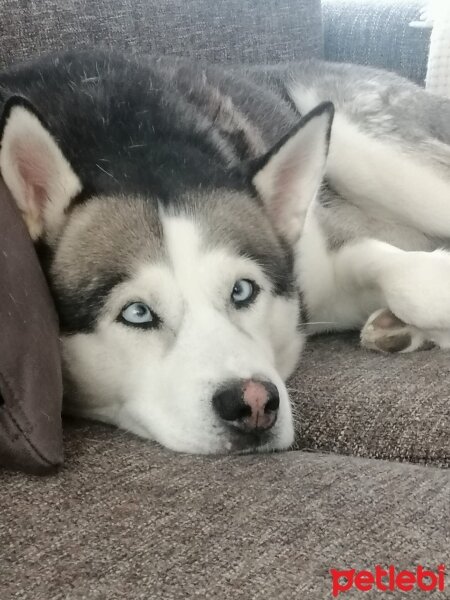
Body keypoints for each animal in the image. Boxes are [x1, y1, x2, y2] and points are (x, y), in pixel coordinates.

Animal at [2, 51, 450, 452]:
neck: (130, 148)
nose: (253, 404)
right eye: (137, 313)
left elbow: (415, 284)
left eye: (242, 290)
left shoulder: (318, 270)